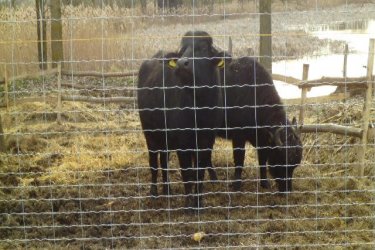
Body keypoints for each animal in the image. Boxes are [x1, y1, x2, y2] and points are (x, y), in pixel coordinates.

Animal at [139, 30, 225, 208]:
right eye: (182, 50)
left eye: (203, 49)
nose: (181, 63)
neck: (198, 108)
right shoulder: (182, 142)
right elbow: (187, 174)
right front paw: (188, 204)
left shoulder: (207, 141)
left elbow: (199, 172)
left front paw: (198, 202)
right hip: (149, 133)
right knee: (153, 162)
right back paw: (154, 191)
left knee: (164, 160)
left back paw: (167, 189)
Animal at [219, 56, 304, 191]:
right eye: (281, 161)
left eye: (294, 166)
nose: (287, 189)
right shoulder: (238, 137)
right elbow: (239, 159)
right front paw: (236, 184)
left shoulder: (263, 141)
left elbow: (262, 162)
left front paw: (265, 183)